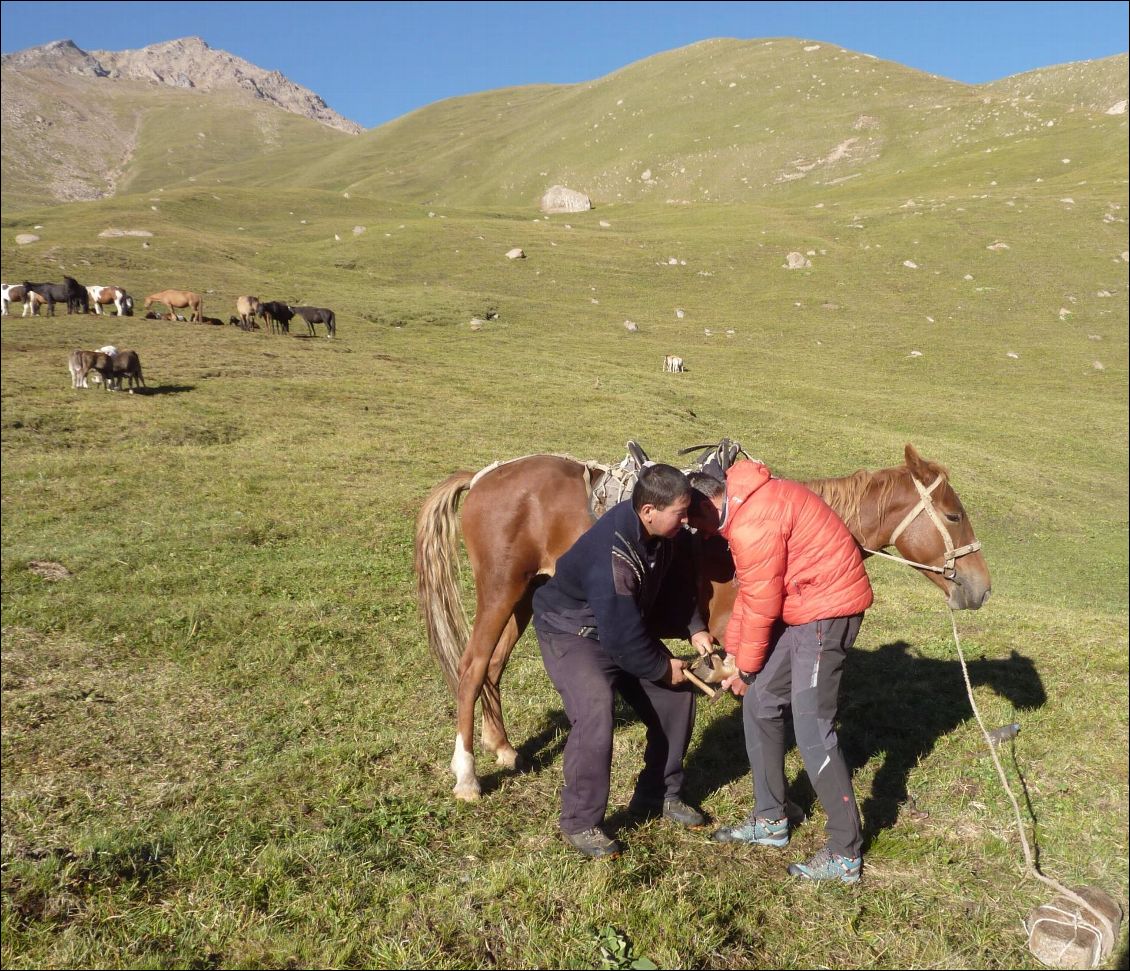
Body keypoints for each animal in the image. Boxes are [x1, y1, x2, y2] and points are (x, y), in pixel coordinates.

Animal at [415, 445, 989, 800]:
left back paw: (503, 748)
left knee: (493, 668)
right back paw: (466, 776)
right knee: (471, 667)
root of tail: (485, 476)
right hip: (501, 591)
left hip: (526, 595)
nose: (980, 587)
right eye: (954, 515)